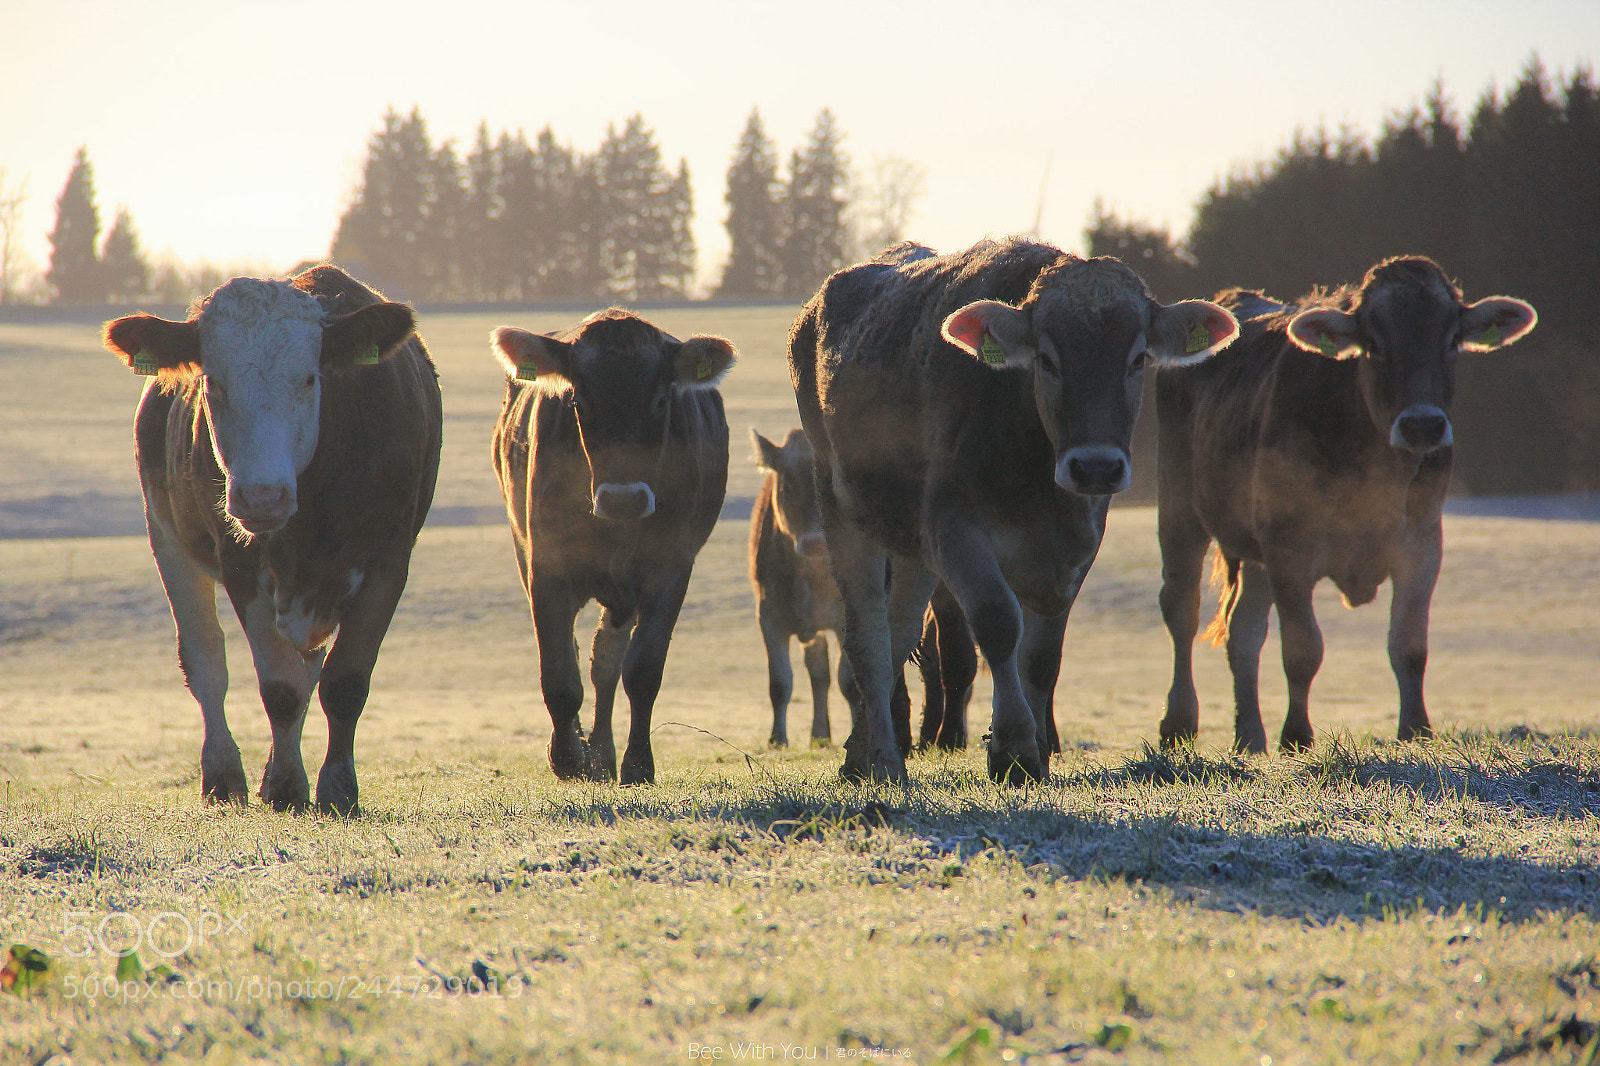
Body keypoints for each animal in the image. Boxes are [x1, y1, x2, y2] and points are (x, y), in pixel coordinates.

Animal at [102, 265, 442, 814]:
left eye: (309, 378)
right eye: (212, 381)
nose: (263, 496)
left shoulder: (387, 563)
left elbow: (344, 683)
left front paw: (338, 788)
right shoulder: (241, 565)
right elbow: (280, 688)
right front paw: (284, 785)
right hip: (167, 537)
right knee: (206, 661)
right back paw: (223, 776)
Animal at [492, 309, 736, 785]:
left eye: (661, 401)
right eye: (579, 403)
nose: (624, 499)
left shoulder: (671, 568)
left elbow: (641, 670)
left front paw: (638, 764)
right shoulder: (546, 564)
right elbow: (559, 673)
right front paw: (567, 757)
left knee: (606, 660)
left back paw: (604, 753)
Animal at [789, 238, 1239, 784]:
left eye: (1136, 360)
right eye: (1047, 359)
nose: (1095, 466)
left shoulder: (1075, 545)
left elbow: (1042, 656)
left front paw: (1038, 752)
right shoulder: (954, 527)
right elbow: (998, 620)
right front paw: (1014, 747)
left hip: (911, 539)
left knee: (901, 629)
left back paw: (861, 750)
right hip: (840, 503)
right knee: (868, 634)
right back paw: (883, 759)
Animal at [1155, 257, 1537, 753]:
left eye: (1451, 341)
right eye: (1373, 344)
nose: (1422, 425)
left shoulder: (1422, 543)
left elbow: (1409, 645)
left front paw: (1415, 731)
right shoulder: (1289, 547)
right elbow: (1303, 648)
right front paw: (1297, 736)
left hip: (1254, 546)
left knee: (1244, 633)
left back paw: (1250, 737)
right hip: (1179, 507)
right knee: (1181, 609)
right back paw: (1179, 723)